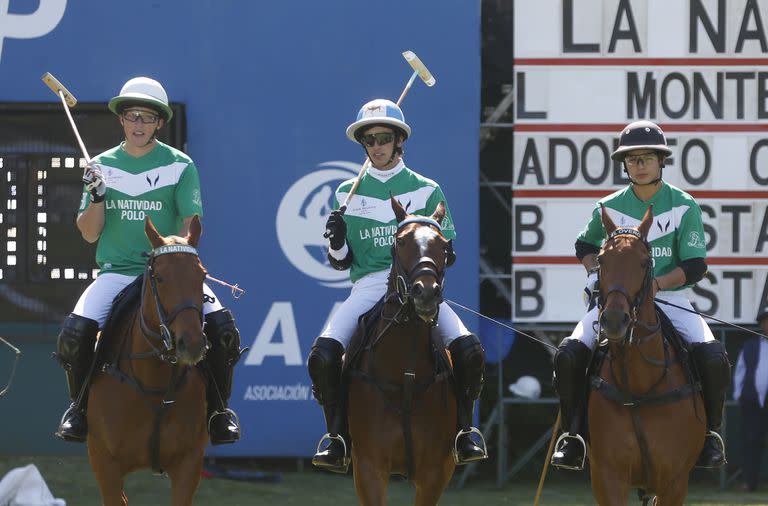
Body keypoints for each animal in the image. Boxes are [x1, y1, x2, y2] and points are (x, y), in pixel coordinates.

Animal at [86, 214, 208, 506]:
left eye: (202, 275)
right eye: (160, 277)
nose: (191, 343)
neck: (155, 380)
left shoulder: (189, 463)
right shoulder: (104, 462)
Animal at [348, 197, 456, 506]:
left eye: (443, 245)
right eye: (401, 241)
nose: (426, 292)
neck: (404, 373)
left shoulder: (436, 471)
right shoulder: (369, 466)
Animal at [588, 207, 708, 506]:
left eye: (644, 262)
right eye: (601, 259)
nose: (614, 320)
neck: (639, 388)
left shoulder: (674, 482)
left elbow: (694, 264)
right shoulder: (607, 478)